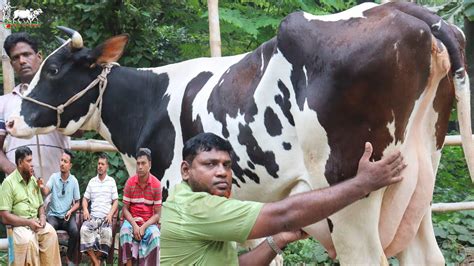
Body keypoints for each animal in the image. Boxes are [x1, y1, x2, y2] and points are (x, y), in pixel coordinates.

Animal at [6, 1, 474, 264]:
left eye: (53, 69)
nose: (9, 121)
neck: (149, 101)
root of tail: (408, 11)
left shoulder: (174, 199)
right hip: (417, 186)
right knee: (426, 255)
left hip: (350, 200)